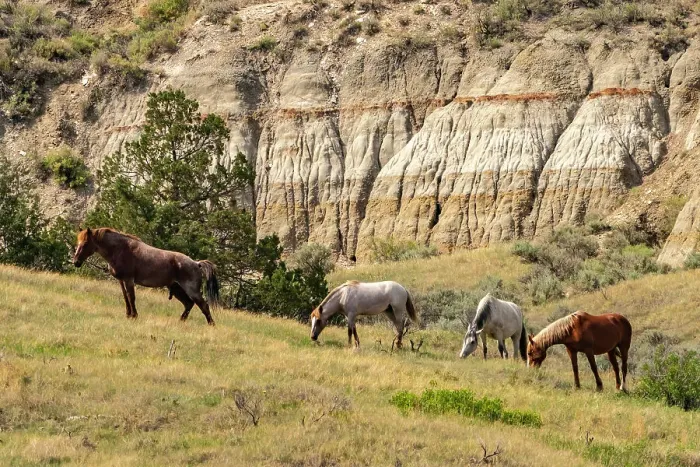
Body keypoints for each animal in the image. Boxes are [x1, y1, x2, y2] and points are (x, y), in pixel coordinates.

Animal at [73, 227, 219, 325]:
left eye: (85, 243)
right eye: (77, 243)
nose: (76, 262)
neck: (121, 249)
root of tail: (196, 263)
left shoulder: (129, 280)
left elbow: (131, 297)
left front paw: (134, 316)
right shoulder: (121, 281)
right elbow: (126, 297)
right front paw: (128, 315)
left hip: (191, 290)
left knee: (203, 305)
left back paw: (211, 324)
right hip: (177, 289)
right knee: (189, 304)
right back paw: (180, 321)